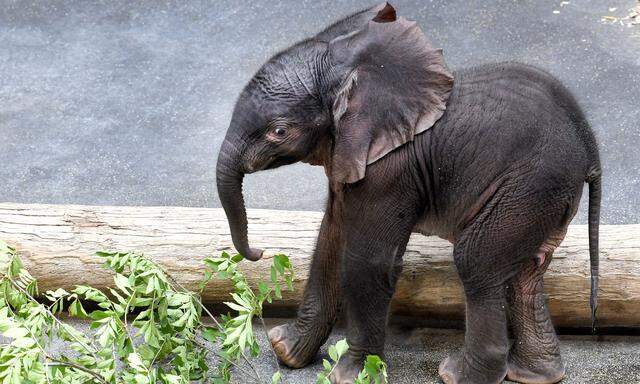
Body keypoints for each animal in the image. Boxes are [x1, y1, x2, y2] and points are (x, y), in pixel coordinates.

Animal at [215, 3, 600, 384]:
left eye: (279, 131)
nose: (259, 252)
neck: (348, 70)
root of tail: (590, 148)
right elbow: (330, 242)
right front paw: (286, 353)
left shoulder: (390, 171)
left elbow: (368, 262)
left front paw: (353, 375)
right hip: (541, 197)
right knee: (526, 273)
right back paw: (534, 374)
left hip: (529, 186)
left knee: (476, 262)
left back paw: (456, 375)